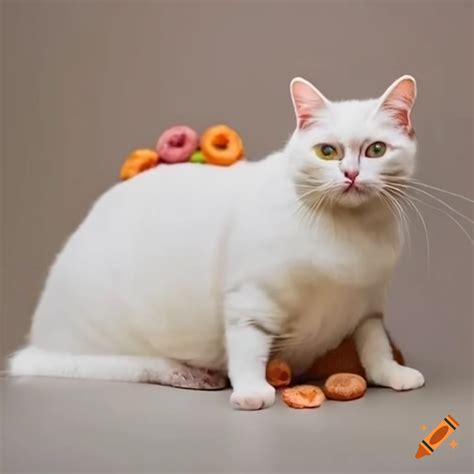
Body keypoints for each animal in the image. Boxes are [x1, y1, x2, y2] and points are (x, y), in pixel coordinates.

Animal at [7, 76, 424, 410]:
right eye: (327, 152)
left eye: (375, 150)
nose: (351, 174)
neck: (351, 236)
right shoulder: (250, 302)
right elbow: (248, 350)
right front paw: (252, 393)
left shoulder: (369, 306)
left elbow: (375, 347)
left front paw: (394, 374)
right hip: (97, 341)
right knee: (105, 365)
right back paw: (189, 375)